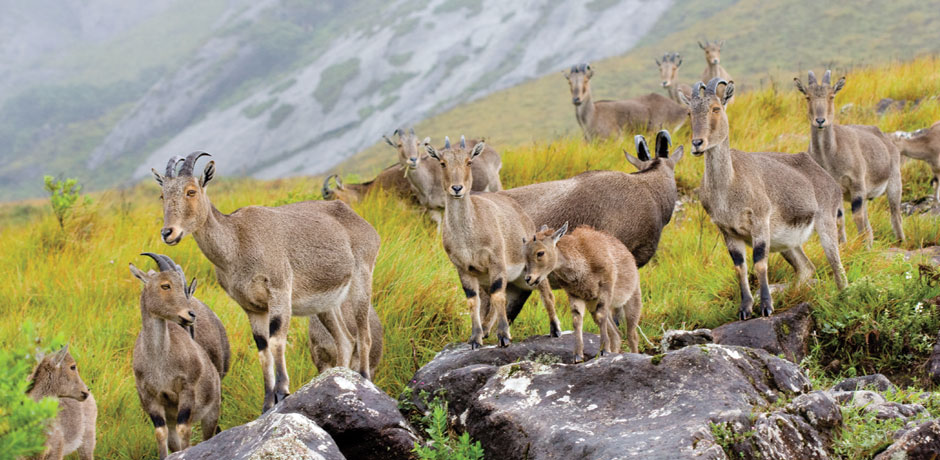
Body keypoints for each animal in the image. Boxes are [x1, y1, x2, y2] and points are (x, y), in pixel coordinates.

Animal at [129, 253, 229, 458]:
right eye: (165, 285)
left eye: (183, 288)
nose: (190, 314)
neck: (159, 362)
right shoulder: (150, 396)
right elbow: (160, 432)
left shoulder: (187, 389)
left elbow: (185, 428)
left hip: (212, 411)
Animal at [426, 137, 560, 348]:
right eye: (442, 162)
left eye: (469, 161)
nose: (457, 188)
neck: (469, 237)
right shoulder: (463, 268)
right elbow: (473, 300)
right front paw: (475, 338)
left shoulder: (496, 260)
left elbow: (498, 295)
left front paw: (504, 336)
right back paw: (486, 329)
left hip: (531, 272)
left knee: (546, 294)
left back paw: (555, 329)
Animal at [560, 63, 688, 141]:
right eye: (569, 82)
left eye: (586, 80)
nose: (576, 99)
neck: (592, 116)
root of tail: (682, 110)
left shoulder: (615, 138)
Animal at [680, 78, 848, 320]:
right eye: (689, 112)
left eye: (716, 108)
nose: (697, 144)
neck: (729, 187)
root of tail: (828, 179)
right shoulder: (728, 231)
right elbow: (739, 267)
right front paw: (745, 309)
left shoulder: (759, 220)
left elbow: (760, 263)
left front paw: (766, 307)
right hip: (785, 241)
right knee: (806, 267)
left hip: (825, 221)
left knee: (837, 266)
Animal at [792, 68, 904, 246]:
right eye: (807, 97)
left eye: (832, 96)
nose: (820, 120)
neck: (830, 157)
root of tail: (883, 137)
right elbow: (839, 220)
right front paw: (844, 245)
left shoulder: (857, 183)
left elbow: (857, 218)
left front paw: (863, 248)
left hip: (894, 181)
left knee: (895, 215)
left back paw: (900, 241)